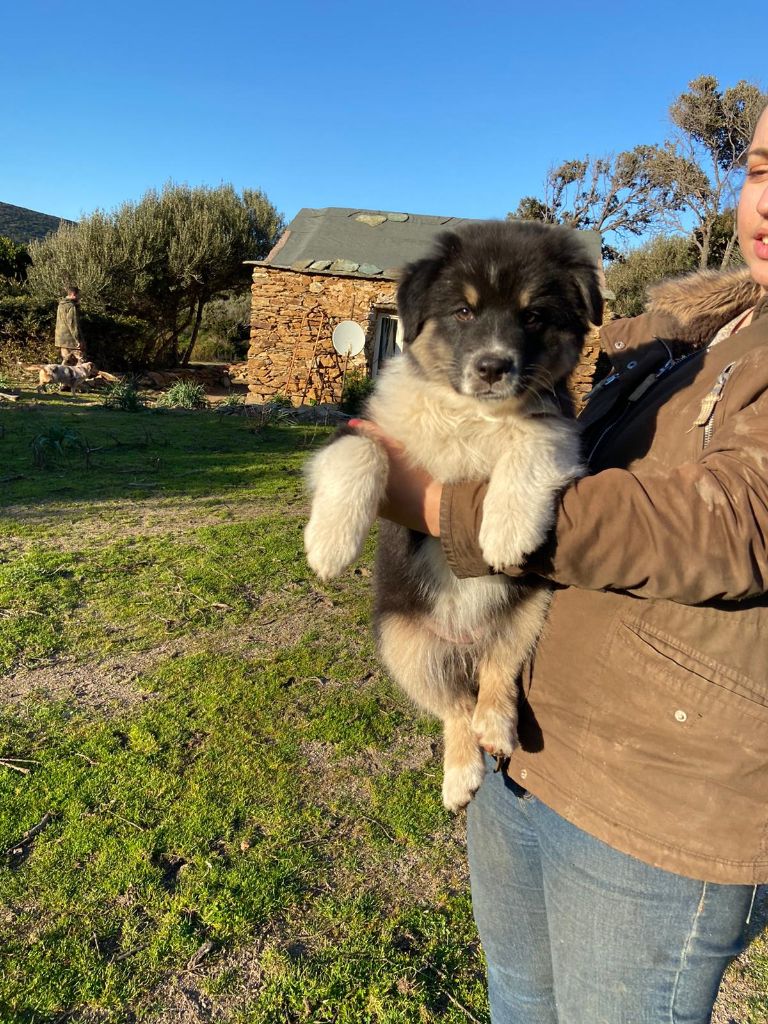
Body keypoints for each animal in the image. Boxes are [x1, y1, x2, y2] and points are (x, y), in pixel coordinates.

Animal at [303, 222, 606, 806]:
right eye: (463, 312)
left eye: (533, 315)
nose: (492, 368)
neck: (472, 415)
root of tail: (464, 644)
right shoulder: (365, 426)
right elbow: (359, 452)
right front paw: (328, 545)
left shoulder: (561, 426)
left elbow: (532, 435)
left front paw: (505, 532)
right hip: (400, 641)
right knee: (453, 706)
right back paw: (461, 774)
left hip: (529, 610)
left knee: (494, 676)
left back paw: (495, 729)